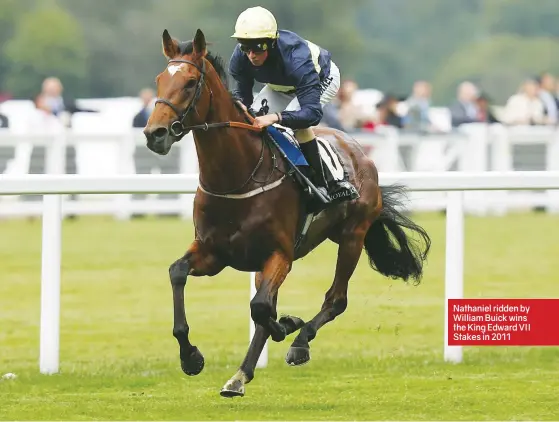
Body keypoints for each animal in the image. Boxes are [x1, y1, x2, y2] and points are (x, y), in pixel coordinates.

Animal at [142, 28, 430, 398]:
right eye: (159, 80)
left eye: (191, 82)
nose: (155, 134)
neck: (236, 177)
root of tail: (359, 151)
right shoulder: (213, 253)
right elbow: (178, 272)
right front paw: (190, 356)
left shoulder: (279, 254)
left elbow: (261, 309)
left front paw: (288, 326)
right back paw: (240, 375)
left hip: (352, 235)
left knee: (336, 299)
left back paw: (299, 341)